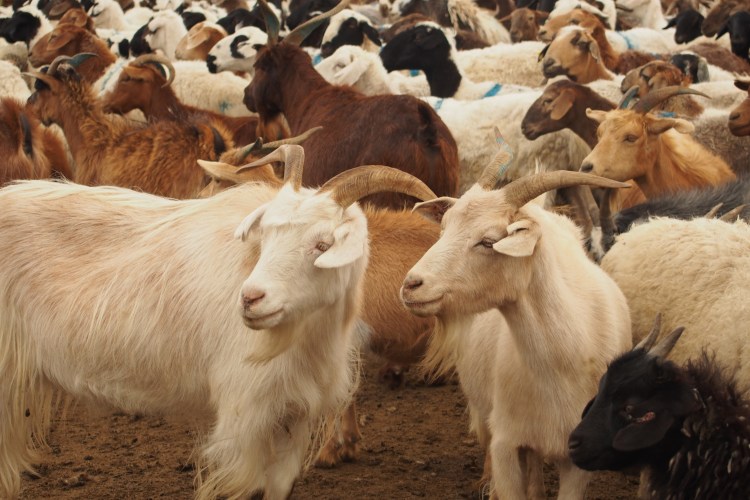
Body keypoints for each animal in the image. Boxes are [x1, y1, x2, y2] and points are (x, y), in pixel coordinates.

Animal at [0, 144, 437, 499]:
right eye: (265, 236)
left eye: (322, 244)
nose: (250, 299)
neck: (301, 338)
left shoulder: (292, 418)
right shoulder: (245, 417)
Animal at [401, 160, 632, 499]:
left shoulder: (577, 456)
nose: (411, 285)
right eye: (444, 229)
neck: (561, 361)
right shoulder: (506, 444)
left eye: (488, 241)